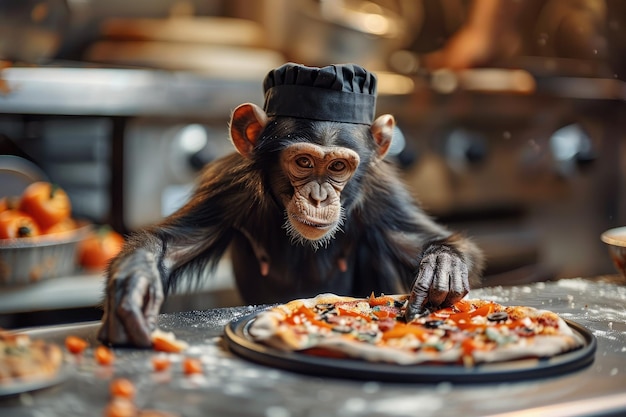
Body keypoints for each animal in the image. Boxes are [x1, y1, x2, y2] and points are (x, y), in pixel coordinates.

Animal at [98, 62, 482, 344]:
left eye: (338, 167)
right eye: (304, 162)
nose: (318, 195)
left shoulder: (382, 195)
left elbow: (427, 240)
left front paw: (443, 265)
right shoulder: (228, 185)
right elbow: (172, 243)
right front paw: (134, 286)